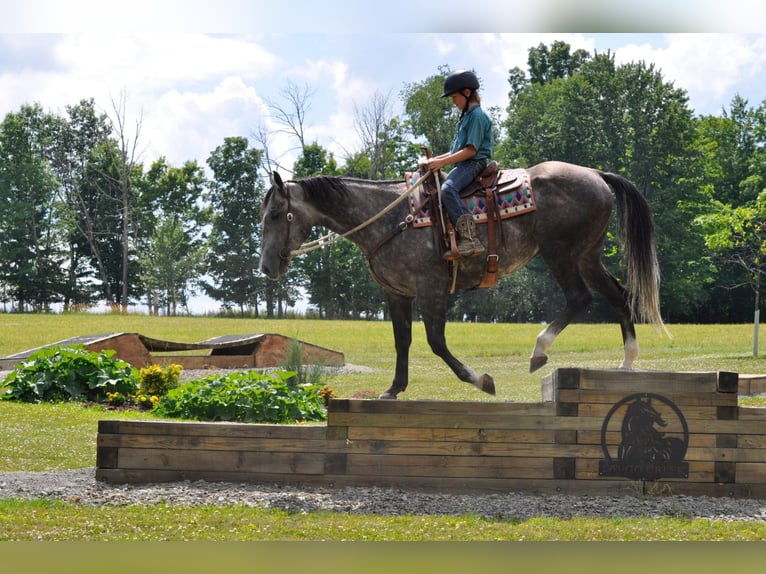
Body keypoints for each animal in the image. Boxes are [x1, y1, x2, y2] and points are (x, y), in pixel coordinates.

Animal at [260, 160, 668, 398]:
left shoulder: (431, 289)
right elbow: (402, 341)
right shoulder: (397, 293)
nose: (266, 267)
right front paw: (394, 389)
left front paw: (481, 380)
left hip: (562, 254)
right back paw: (627, 363)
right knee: (618, 295)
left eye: (278, 214)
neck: (388, 216)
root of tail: (597, 175)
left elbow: (436, 342)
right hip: (587, 256)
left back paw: (540, 350)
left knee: (580, 298)